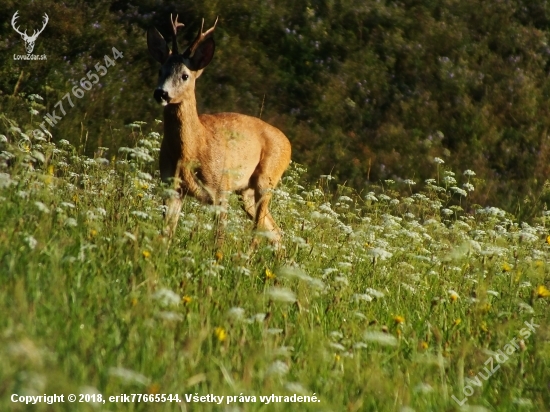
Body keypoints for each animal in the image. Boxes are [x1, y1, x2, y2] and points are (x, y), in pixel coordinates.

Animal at [147, 15, 294, 248]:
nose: (161, 93)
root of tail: (288, 144)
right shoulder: (171, 187)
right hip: (246, 191)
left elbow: (219, 238)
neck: (191, 149)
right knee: (276, 232)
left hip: (267, 179)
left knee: (258, 231)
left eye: (185, 75)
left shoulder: (220, 189)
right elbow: (166, 233)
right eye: (160, 71)